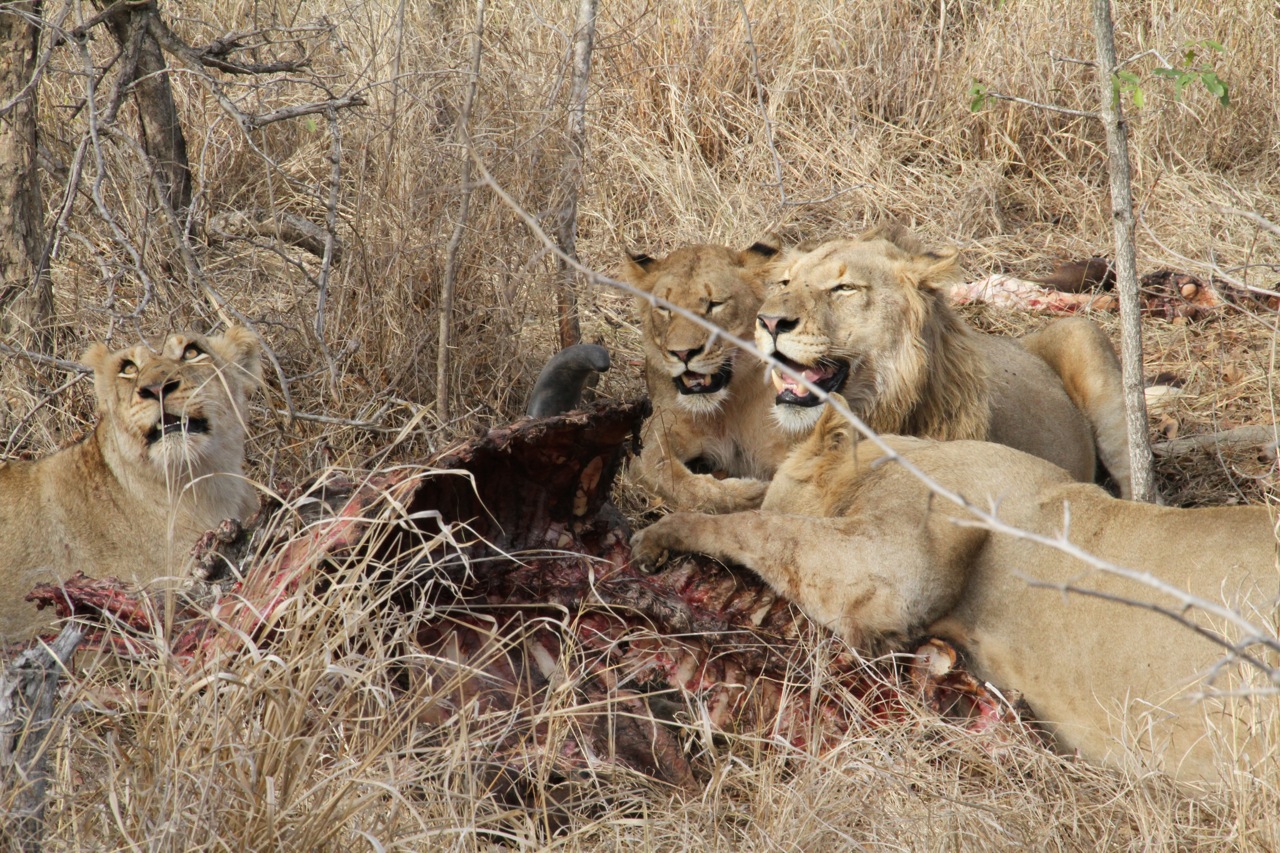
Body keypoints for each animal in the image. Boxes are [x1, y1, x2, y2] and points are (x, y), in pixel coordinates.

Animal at [619, 235, 798, 507]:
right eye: (664, 308)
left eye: (715, 305)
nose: (683, 353)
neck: (725, 409)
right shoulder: (651, 440)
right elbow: (677, 482)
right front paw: (749, 491)